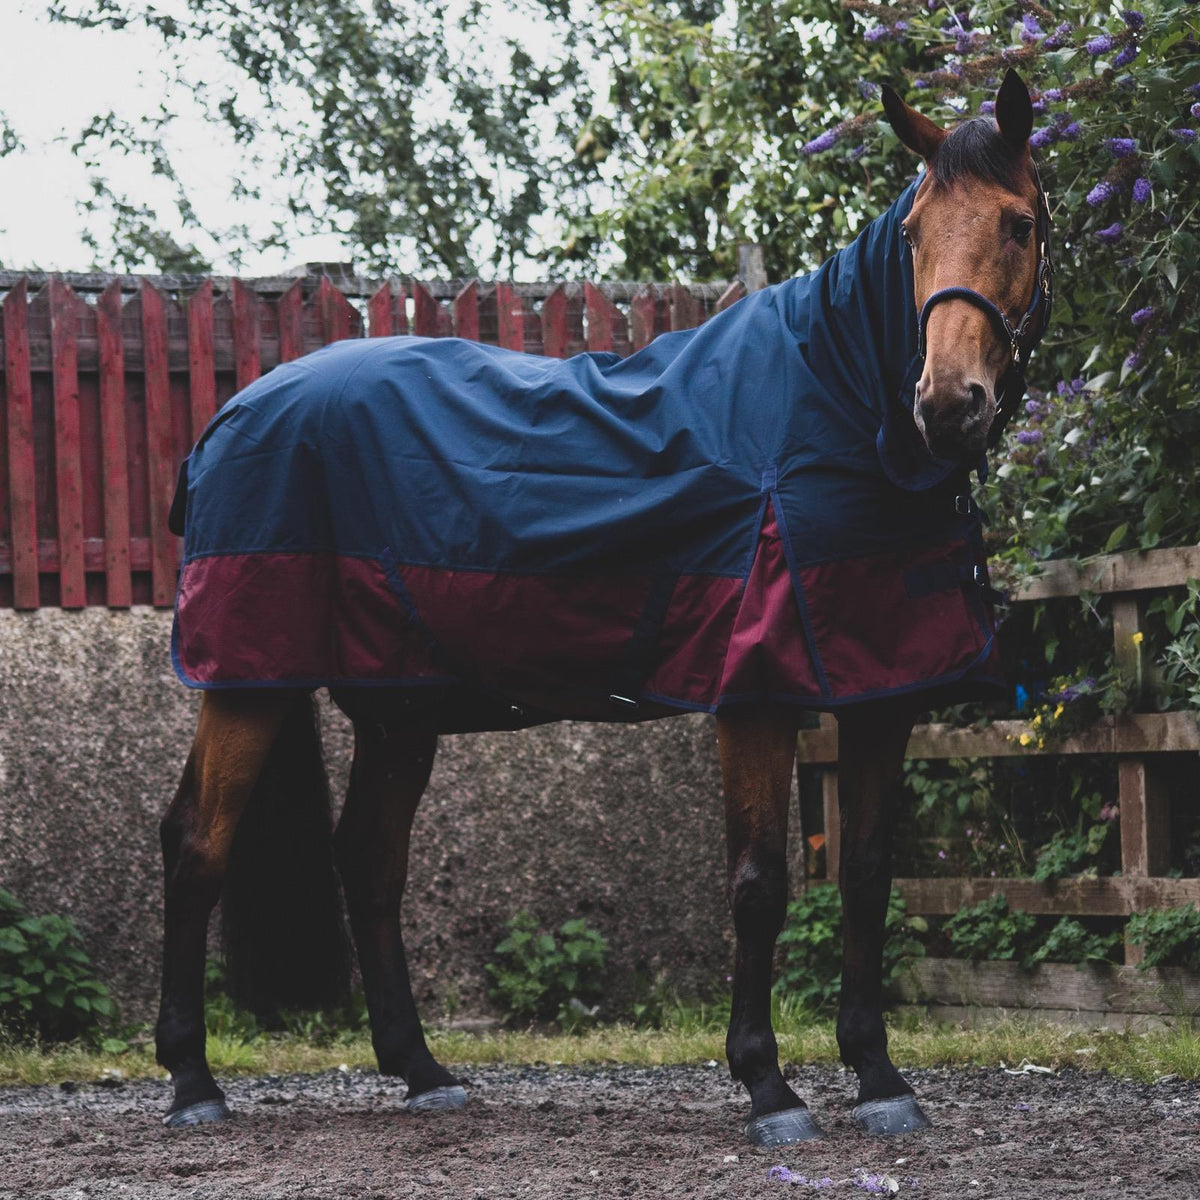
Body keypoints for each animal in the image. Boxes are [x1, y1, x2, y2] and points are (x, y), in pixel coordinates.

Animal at [155, 70, 1053, 1145]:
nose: (946, 403)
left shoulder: (884, 693)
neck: (830, 405)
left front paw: (878, 1076)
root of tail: (226, 417)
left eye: (1018, 224)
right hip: (247, 682)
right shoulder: (756, 696)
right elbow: (760, 885)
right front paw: (768, 1086)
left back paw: (422, 1070)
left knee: (369, 862)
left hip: (396, 707)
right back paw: (192, 1081)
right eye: (914, 233)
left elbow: (870, 879)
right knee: (198, 846)